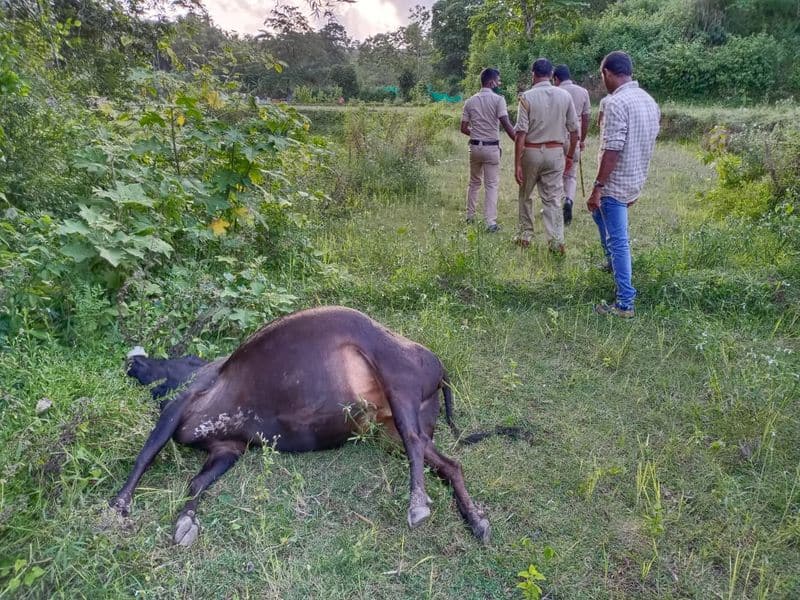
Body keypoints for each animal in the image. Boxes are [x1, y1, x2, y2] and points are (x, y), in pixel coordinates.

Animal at [111, 308, 488, 548]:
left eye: (182, 356)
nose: (134, 358)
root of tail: (442, 370)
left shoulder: (177, 407)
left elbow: (146, 454)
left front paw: (118, 506)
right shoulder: (228, 448)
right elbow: (197, 482)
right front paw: (185, 521)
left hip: (398, 382)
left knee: (414, 443)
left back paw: (418, 504)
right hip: (389, 430)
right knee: (448, 463)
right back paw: (476, 519)